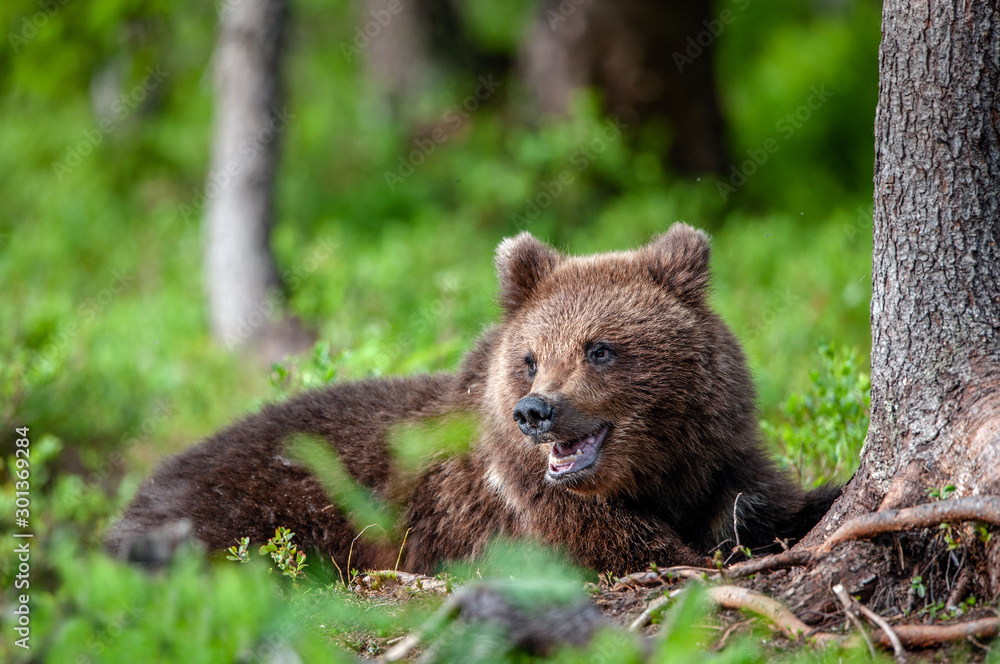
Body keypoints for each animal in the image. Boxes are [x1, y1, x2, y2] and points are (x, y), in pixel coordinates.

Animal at [106, 224, 839, 576]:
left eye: (599, 348)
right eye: (531, 358)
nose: (536, 411)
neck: (654, 477)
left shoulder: (720, 464)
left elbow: (763, 505)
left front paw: (819, 504)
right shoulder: (521, 516)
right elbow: (635, 552)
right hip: (254, 509)